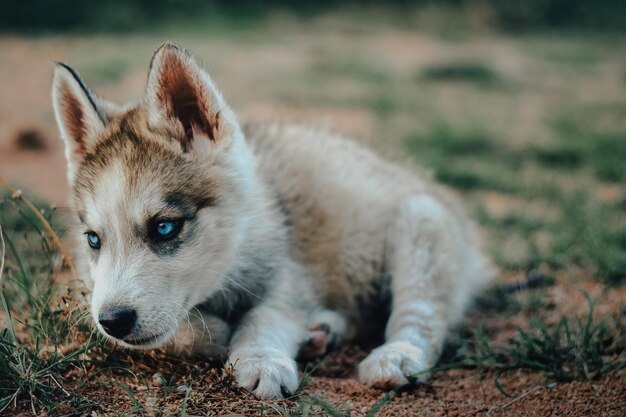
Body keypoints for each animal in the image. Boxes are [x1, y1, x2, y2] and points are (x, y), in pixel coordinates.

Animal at [51, 44, 492, 398]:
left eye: (164, 227)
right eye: (93, 239)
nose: (114, 321)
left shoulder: (290, 278)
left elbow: (263, 316)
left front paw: (261, 358)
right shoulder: (92, 290)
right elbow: (175, 332)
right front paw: (213, 334)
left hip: (423, 222)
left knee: (421, 314)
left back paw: (397, 355)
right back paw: (323, 331)